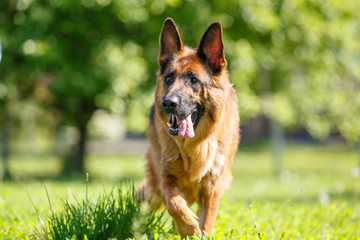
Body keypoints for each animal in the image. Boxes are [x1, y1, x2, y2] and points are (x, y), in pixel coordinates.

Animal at [138, 18, 239, 238]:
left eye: (194, 80)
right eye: (168, 78)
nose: (168, 103)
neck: (195, 146)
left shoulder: (211, 188)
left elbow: (206, 223)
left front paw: (198, 231)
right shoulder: (167, 179)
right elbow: (175, 204)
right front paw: (189, 228)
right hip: (154, 183)